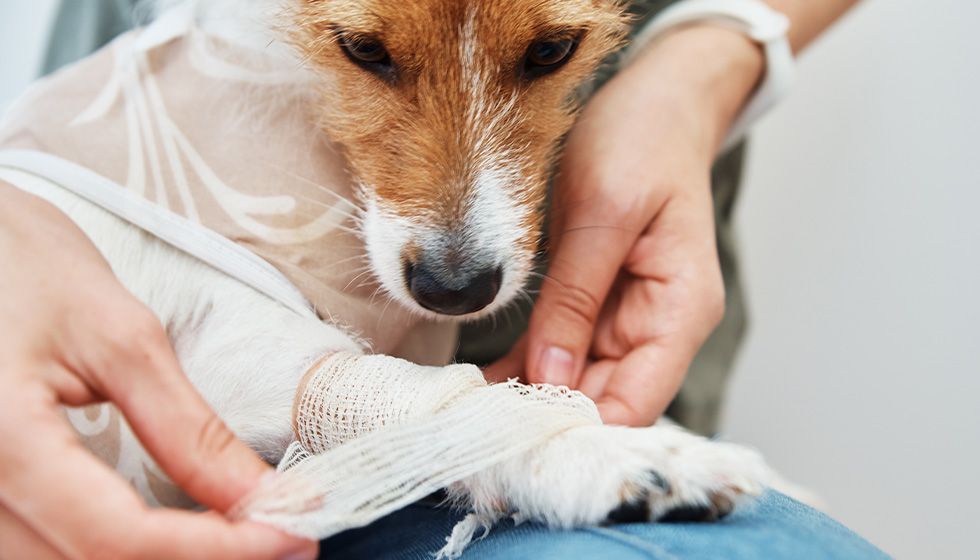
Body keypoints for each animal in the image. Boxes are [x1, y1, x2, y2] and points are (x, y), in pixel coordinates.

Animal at [0, 0, 772, 552]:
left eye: (552, 50)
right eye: (364, 49)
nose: (454, 290)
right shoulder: (222, 363)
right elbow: (454, 413)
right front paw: (601, 451)